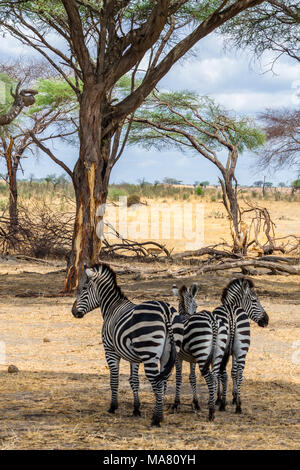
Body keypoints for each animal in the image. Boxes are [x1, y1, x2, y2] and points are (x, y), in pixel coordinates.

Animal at [72, 262, 184, 428]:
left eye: (84, 288)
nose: (73, 312)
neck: (112, 307)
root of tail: (165, 311)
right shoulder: (134, 357)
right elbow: (134, 381)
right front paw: (136, 409)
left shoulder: (110, 350)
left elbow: (114, 379)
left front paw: (113, 407)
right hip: (168, 353)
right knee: (163, 381)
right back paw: (160, 414)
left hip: (149, 353)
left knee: (157, 383)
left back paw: (156, 419)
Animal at [171, 282, 227, 422]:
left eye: (196, 306)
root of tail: (212, 320)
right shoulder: (193, 359)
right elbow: (192, 378)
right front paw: (195, 403)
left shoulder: (178, 356)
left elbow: (179, 377)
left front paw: (176, 404)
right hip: (216, 354)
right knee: (215, 376)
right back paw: (212, 404)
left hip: (202, 352)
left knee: (210, 378)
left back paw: (211, 412)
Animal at [214, 278, 268, 414]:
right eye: (255, 300)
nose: (267, 320)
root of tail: (231, 313)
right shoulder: (234, 351)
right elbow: (234, 371)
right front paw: (233, 396)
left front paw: (219, 397)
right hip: (242, 348)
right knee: (240, 372)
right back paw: (238, 404)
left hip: (223, 348)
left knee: (222, 373)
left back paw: (222, 403)